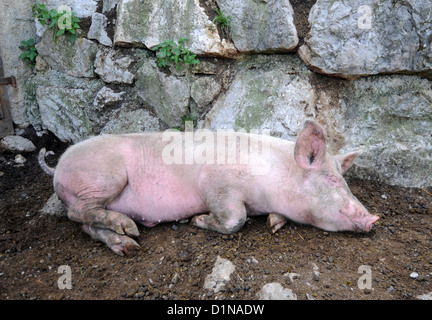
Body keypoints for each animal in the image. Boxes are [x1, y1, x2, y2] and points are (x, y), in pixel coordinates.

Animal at [39, 120, 378, 255]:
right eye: (332, 180)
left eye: (344, 180)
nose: (374, 219)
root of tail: (59, 167)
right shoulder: (216, 183)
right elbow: (235, 219)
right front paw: (196, 220)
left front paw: (273, 223)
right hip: (104, 177)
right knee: (77, 211)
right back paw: (130, 228)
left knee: (87, 225)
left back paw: (129, 245)